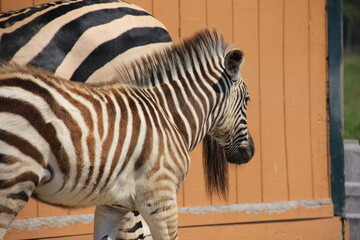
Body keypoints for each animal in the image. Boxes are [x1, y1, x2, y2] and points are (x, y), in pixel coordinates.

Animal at [0, 29, 255, 239]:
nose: (250, 153)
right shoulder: (160, 197)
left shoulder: (112, 206)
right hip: (13, 180)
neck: (170, 117)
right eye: (247, 99)